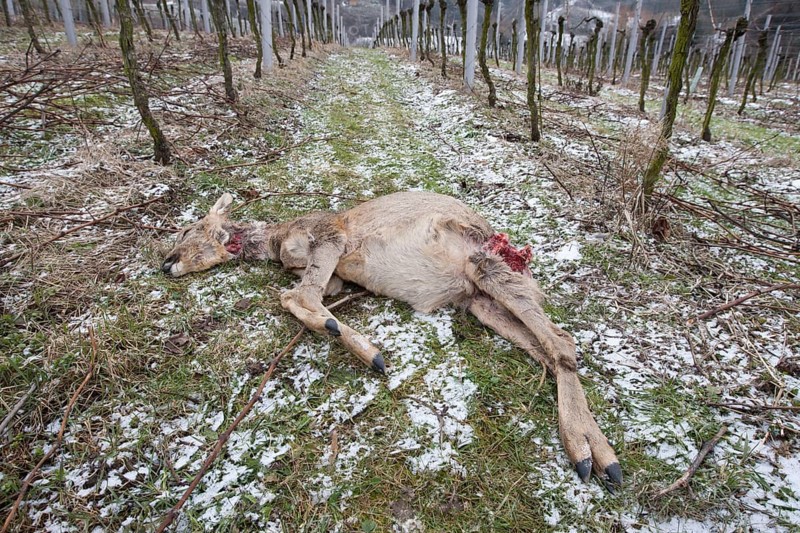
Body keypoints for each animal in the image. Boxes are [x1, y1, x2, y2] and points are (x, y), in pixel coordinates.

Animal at [162, 190, 622, 488]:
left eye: (186, 231)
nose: (165, 263)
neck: (278, 242)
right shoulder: (334, 272)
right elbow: (312, 291)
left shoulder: (329, 233)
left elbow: (296, 295)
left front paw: (365, 350)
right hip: (479, 299)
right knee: (546, 348)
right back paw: (596, 451)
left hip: (486, 262)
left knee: (561, 339)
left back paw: (589, 453)